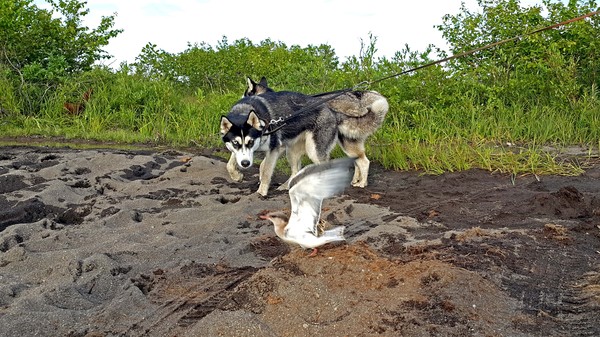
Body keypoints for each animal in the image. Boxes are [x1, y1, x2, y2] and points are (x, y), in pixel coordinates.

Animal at [244, 77, 390, 190]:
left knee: (363, 162)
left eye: (245, 94)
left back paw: (362, 183)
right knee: (358, 161)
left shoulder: (279, 147)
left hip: (318, 148)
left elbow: (264, 165)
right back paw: (356, 180)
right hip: (346, 146)